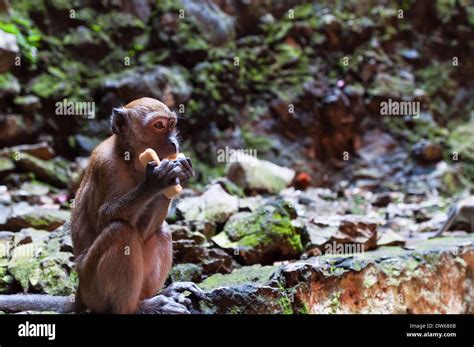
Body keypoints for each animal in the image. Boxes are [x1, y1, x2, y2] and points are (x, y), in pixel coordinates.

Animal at [0, 98, 204, 316]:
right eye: (159, 125)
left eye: (172, 124)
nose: (174, 143)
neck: (129, 158)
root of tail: (80, 292)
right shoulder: (105, 165)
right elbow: (104, 218)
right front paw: (156, 182)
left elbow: (145, 230)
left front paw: (178, 173)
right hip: (93, 287)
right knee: (120, 230)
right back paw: (139, 307)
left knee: (161, 230)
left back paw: (159, 294)